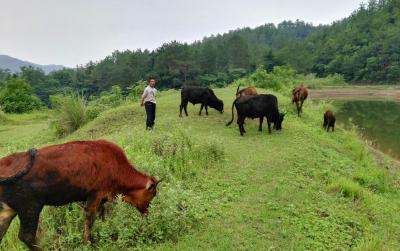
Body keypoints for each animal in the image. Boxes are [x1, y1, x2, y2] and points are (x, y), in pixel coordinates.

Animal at [0, 140, 159, 250]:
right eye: (153, 194)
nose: (148, 214)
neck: (116, 166)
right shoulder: (95, 195)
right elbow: (89, 220)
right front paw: (89, 243)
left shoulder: (100, 199)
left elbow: (101, 216)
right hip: (30, 208)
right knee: (27, 237)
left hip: (8, 211)